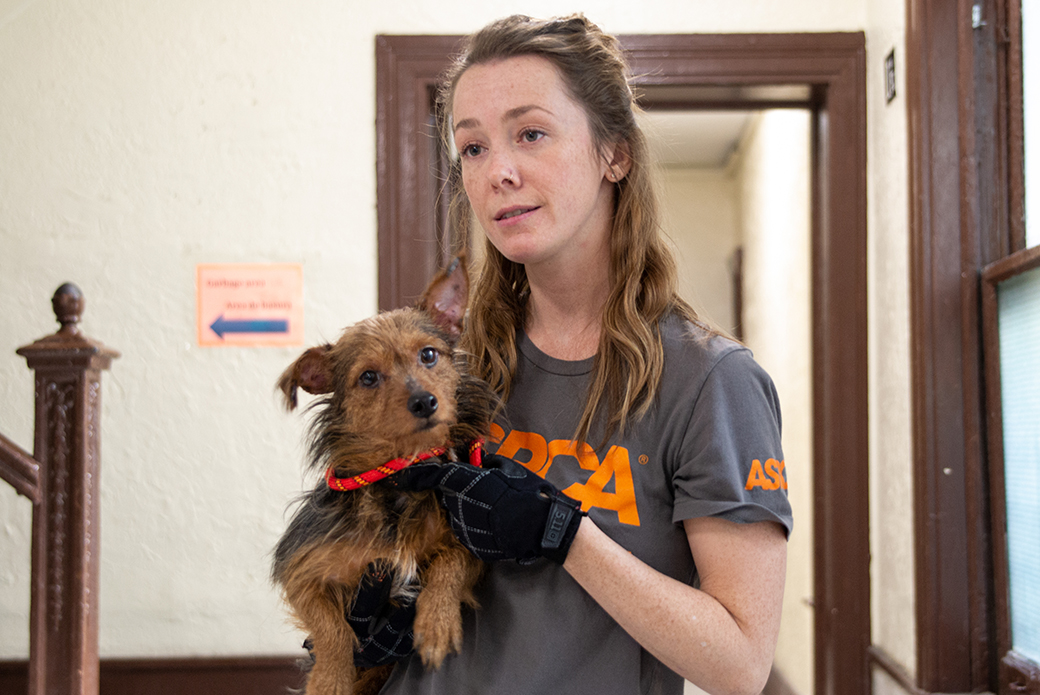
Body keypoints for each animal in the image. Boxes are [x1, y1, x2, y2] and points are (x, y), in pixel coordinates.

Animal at [272, 256, 490, 695]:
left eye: (428, 355)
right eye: (368, 377)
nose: (425, 402)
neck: (401, 477)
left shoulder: (468, 545)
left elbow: (452, 562)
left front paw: (436, 622)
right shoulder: (300, 569)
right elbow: (332, 629)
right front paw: (329, 679)